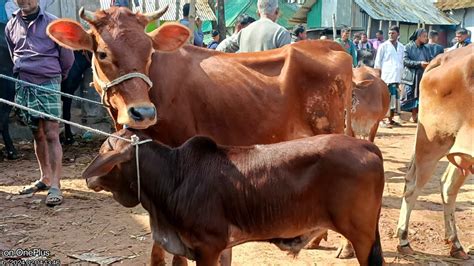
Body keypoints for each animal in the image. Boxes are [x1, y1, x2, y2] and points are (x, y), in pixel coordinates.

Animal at [47, 6, 356, 264]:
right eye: (102, 53)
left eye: (149, 53)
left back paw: (346, 247)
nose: (143, 112)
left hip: (332, 130)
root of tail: (333, 46)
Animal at [82, 129, 386, 266]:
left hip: (361, 236)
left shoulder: (207, 247)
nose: (88, 177)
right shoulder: (220, 247)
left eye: (104, 150)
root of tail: (367, 146)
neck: (174, 176)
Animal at [394, 45, 472, 260]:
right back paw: (404, 240)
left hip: (460, 151)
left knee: (447, 186)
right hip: (432, 143)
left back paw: (456, 244)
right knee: (413, 186)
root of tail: (444, 57)